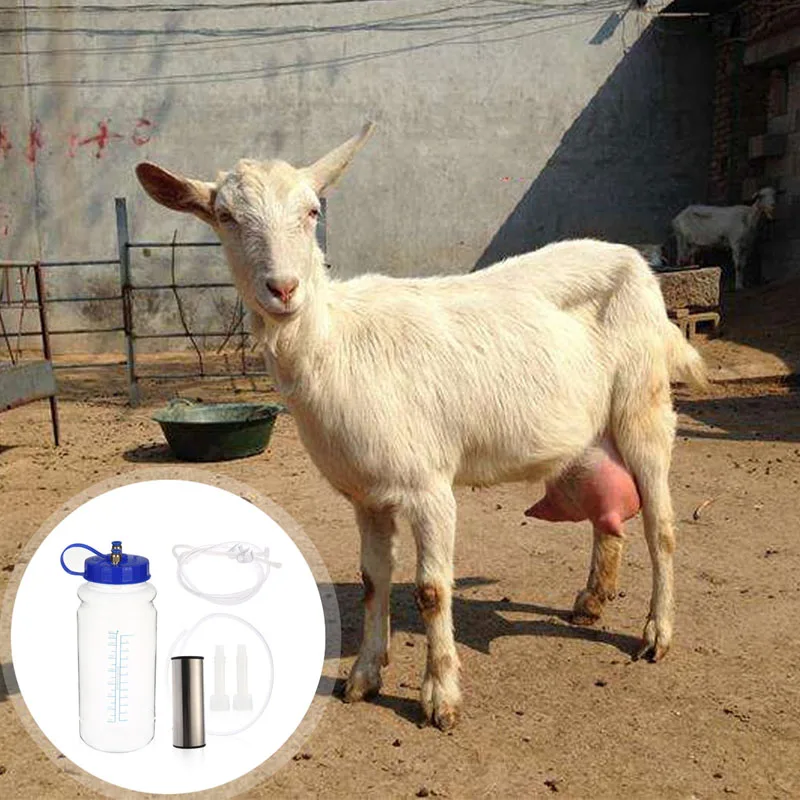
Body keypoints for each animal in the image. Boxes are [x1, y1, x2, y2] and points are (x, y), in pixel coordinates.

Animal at [135, 122, 708, 731]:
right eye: (226, 217)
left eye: (312, 211)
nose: (284, 289)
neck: (335, 346)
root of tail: (636, 262)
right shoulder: (366, 494)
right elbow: (371, 582)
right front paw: (363, 676)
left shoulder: (429, 485)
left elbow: (432, 590)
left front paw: (440, 697)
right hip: (593, 430)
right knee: (608, 516)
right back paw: (593, 600)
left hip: (644, 406)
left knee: (661, 527)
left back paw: (657, 634)